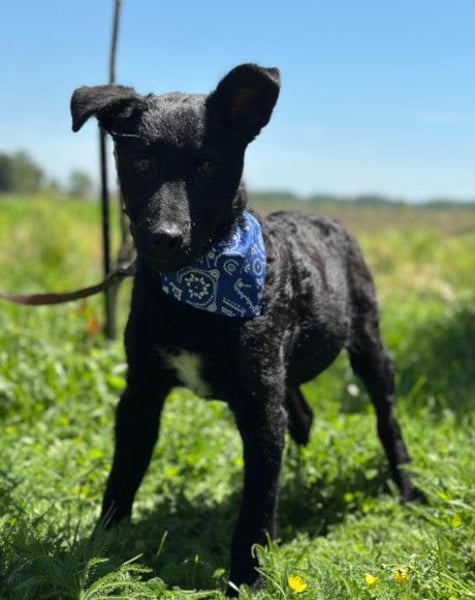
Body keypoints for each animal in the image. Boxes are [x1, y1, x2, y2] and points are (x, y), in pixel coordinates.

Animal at [71, 64, 420, 595]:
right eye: (141, 162)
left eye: (207, 167)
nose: (164, 238)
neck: (196, 290)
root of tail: (323, 215)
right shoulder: (141, 393)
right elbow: (123, 474)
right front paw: (101, 545)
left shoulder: (258, 408)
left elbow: (255, 508)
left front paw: (246, 580)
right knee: (301, 414)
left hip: (368, 346)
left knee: (387, 420)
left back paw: (407, 488)